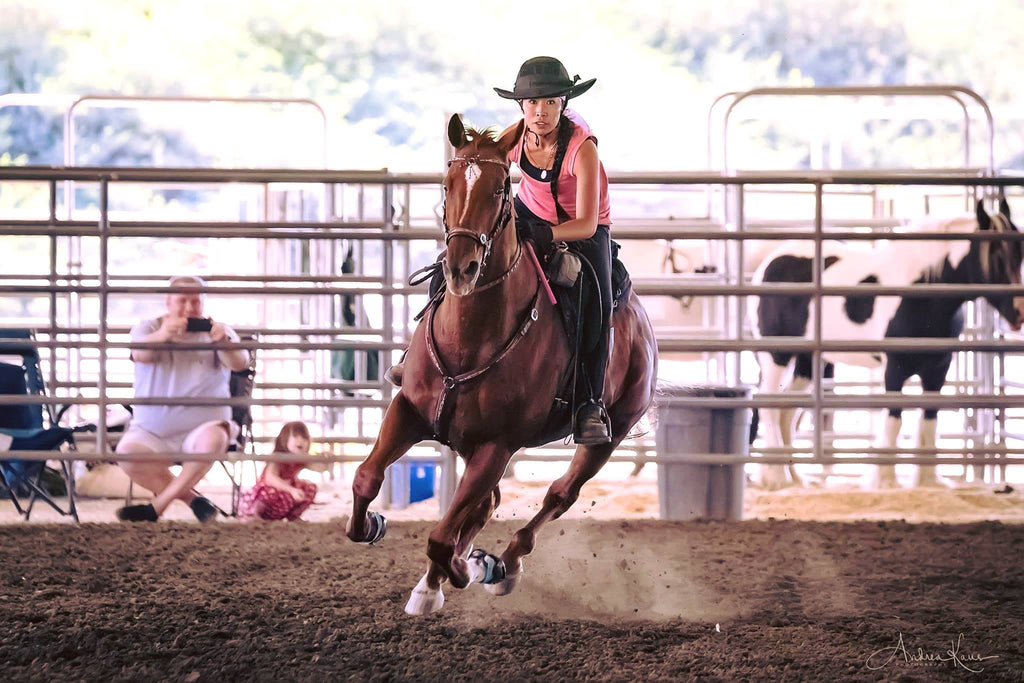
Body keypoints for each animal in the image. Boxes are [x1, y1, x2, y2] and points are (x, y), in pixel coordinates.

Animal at [348, 114, 659, 618]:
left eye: (499, 189)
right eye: (448, 184)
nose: (461, 268)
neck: (471, 337)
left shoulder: (498, 445)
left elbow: (441, 537)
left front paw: (467, 569)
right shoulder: (409, 410)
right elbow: (365, 478)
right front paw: (374, 525)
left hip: (611, 432)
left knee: (558, 494)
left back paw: (501, 566)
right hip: (466, 442)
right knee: (483, 504)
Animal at [749, 200, 1019, 489]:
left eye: (1019, 254)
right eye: (996, 255)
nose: (1018, 314)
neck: (921, 291)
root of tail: (769, 264)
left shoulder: (937, 369)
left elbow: (929, 422)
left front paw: (927, 481)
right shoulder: (894, 369)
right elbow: (893, 422)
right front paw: (886, 481)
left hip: (808, 361)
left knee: (787, 410)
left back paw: (795, 477)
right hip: (776, 355)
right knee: (767, 405)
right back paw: (776, 477)